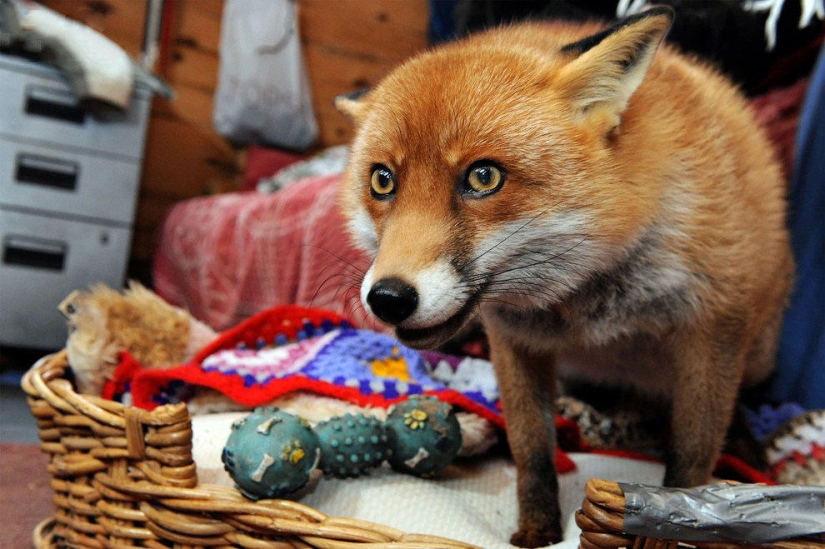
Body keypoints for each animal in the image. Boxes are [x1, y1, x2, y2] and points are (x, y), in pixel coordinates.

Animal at [335, 7, 793, 548]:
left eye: (483, 177)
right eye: (382, 181)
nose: (388, 298)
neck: (589, 304)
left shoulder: (715, 327)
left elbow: (690, 459)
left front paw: (677, 523)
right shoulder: (514, 339)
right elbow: (530, 449)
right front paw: (536, 531)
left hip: (758, 353)